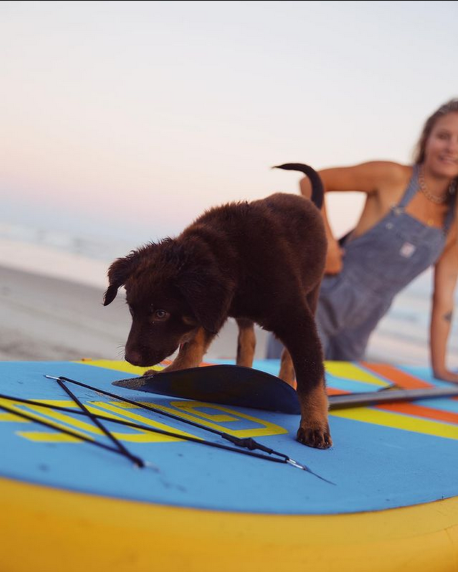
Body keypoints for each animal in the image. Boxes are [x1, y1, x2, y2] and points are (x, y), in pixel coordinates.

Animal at [104, 163, 330, 450]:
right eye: (132, 311)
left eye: (160, 313)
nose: (130, 358)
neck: (235, 259)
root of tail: (310, 203)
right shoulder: (210, 310)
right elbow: (191, 349)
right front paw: (170, 375)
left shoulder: (294, 318)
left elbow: (311, 374)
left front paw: (314, 424)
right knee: (247, 339)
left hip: (311, 293)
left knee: (288, 356)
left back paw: (285, 381)